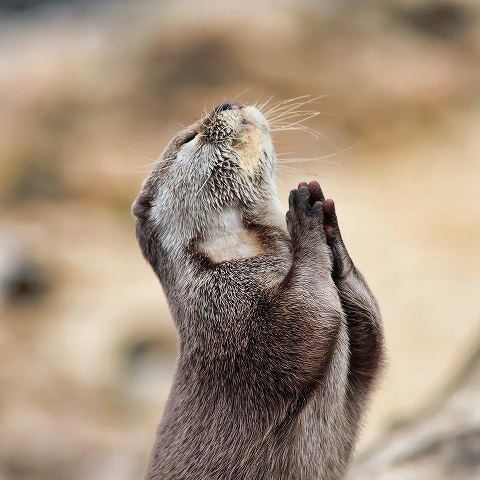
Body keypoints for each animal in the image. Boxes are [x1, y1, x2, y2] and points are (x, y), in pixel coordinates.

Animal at [130, 99, 382, 478]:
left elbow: (372, 341)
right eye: (190, 138)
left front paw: (330, 229)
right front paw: (304, 219)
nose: (227, 103)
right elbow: (304, 323)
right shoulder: (227, 313)